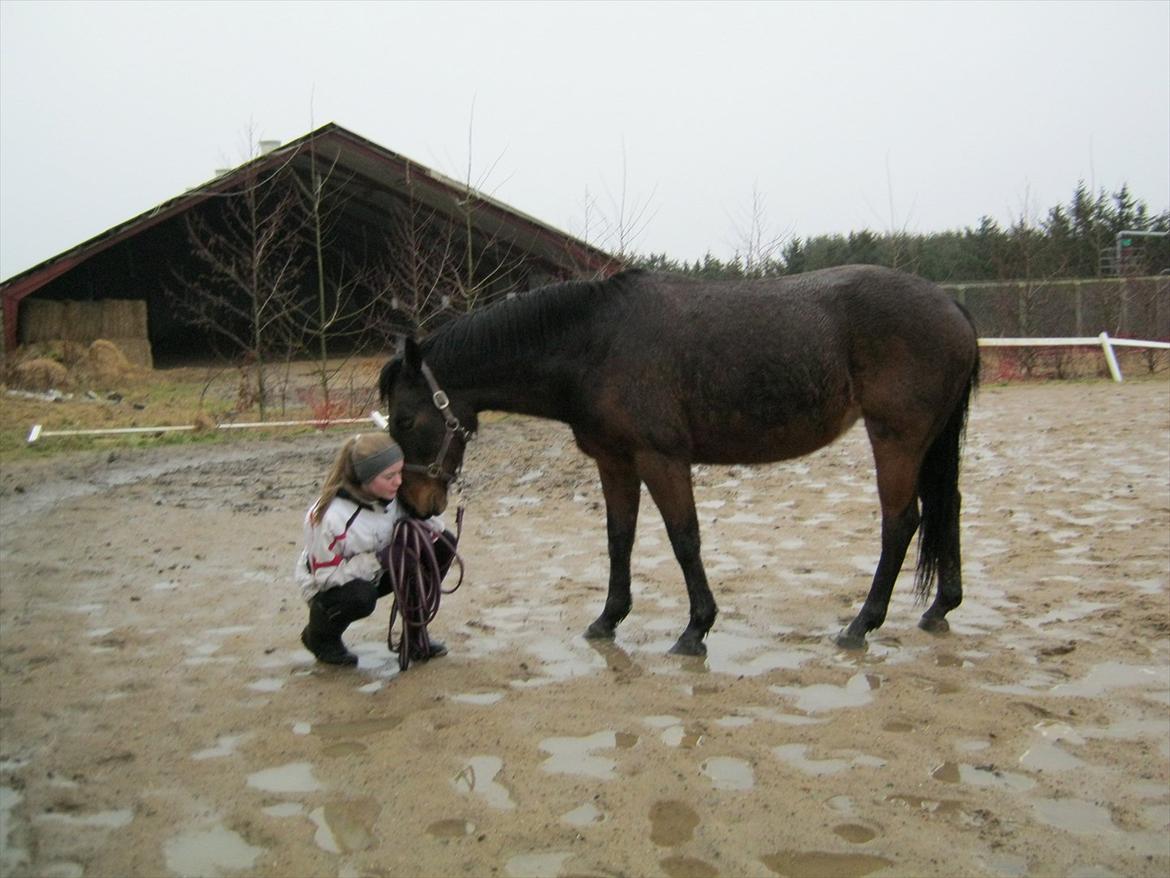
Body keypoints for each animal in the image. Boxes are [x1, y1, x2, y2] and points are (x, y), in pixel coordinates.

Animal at [376, 264, 978, 655]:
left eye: (403, 420)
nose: (416, 503)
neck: (595, 344)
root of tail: (950, 304)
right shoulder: (614, 461)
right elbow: (619, 538)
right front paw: (608, 618)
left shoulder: (660, 458)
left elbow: (683, 538)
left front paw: (696, 630)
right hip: (928, 441)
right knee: (946, 508)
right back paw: (940, 607)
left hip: (896, 437)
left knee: (901, 522)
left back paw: (861, 625)